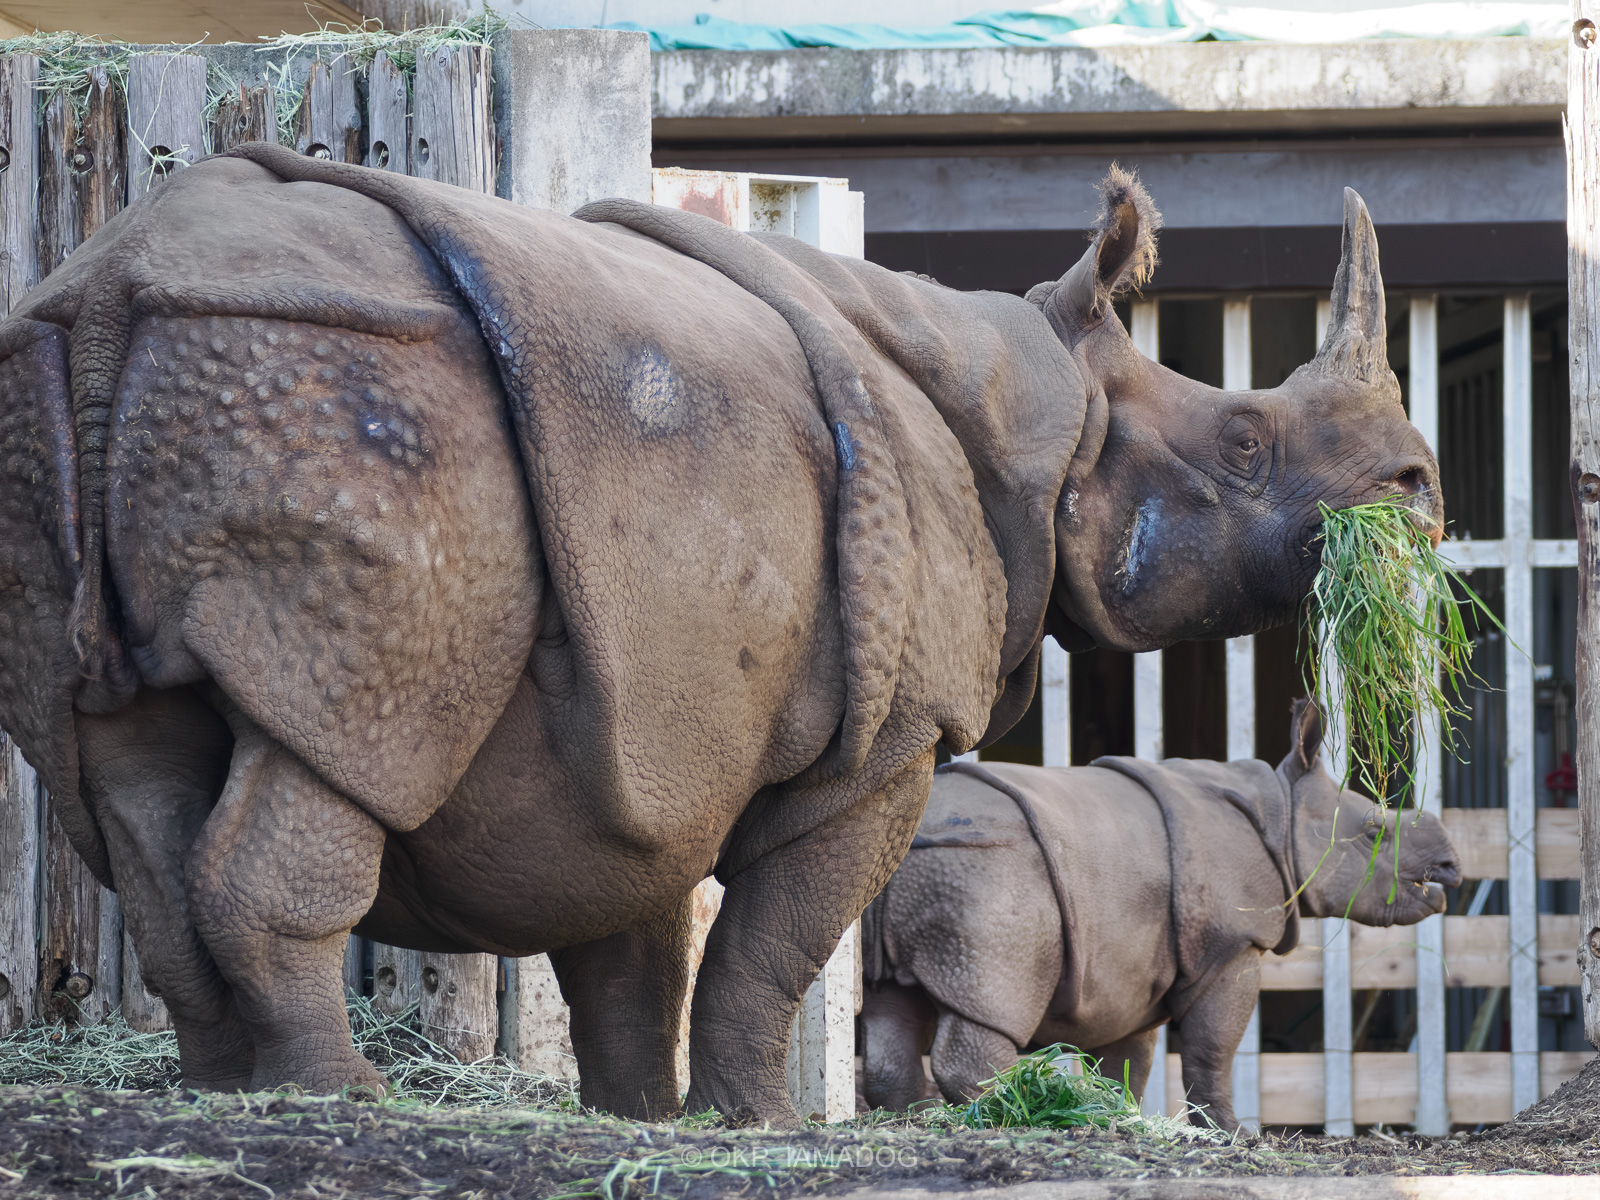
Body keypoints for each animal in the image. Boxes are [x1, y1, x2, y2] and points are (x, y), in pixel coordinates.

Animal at [858, 700, 1462, 1131]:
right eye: (1375, 832)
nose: (1451, 868)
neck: (1283, 811)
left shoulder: (1136, 960)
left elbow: (1130, 1058)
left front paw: (1117, 1115)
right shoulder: (1233, 943)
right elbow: (1213, 1046)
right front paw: (1231, 1135)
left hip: (913, 866)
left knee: (891, 1001)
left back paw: (919, 1121)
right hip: (986, 870)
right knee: (991, 992)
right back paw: (1019, 1110)